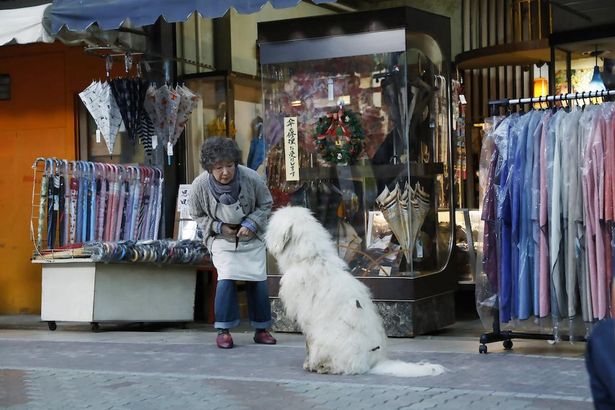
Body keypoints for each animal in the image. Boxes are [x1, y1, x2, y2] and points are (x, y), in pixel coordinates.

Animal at [268, 207, 446, 376]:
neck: (311, 258)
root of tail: (376, 363)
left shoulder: (307, 319)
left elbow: (308, 343)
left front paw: (309, 364)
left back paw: (324, 366)